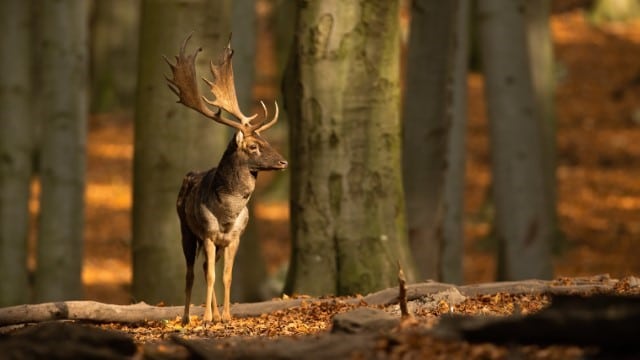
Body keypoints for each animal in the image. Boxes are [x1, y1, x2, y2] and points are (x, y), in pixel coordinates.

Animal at [164, 34, 288, 326]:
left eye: (266, 141)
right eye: (253, 146)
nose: (283, 162)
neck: (228, 213)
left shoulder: (234, 237)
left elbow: (226, 276)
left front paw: (228, 316)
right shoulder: (209, 233)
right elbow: (209, 275)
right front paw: (207, 318)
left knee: (205, 267)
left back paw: (218, 314)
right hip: (185, 229)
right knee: (192, 271)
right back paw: (187, 317)